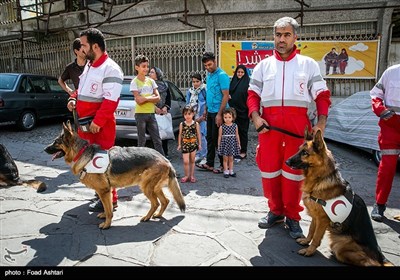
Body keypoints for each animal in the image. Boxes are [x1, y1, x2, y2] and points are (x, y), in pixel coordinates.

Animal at [44, 121, 186, 229]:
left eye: (56, 142)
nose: (45, 149)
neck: (82, 152)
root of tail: (166, 160)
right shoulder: (106, 191)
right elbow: (108, 207)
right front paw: (104, 215)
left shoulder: (104, 191)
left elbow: (109, 210)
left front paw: (106, 224)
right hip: (154, 188)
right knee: (165, 201)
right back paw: (157, 215)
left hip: (146, 187)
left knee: (156, 203)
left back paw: (147, 217)